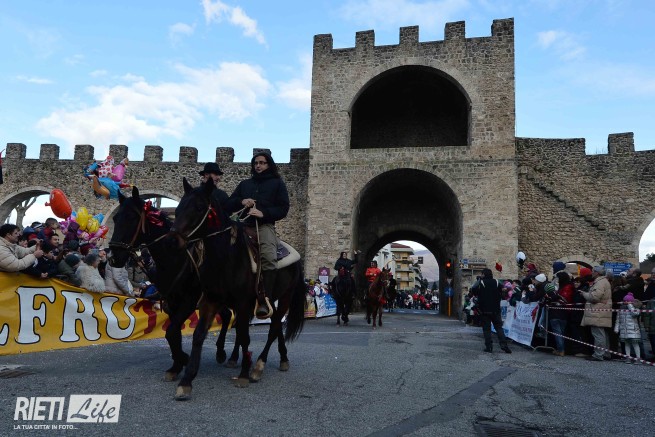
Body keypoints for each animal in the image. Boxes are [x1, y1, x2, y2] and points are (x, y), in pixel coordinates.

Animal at [107, 186, 235, 384]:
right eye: (115, 218)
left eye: (131, 217)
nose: (114, 257)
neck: (173, 259)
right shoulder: (171, 302)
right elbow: (173, 334)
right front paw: (176, 365)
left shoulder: (189, 301)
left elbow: (171, 331)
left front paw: (184, 359)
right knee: (228, 315)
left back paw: (228, 355)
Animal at [169, 178, 306, 398]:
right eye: (179, 206)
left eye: (199, 207)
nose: (174, 240)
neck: (227, 257)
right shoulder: (211, 300)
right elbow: (199, 335)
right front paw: (187, 380)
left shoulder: (243, 303)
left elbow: (244, 336)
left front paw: (243, 375)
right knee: (275, 326)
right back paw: (278, 359)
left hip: (285, 297)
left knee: (274, 327)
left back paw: (258, 366)